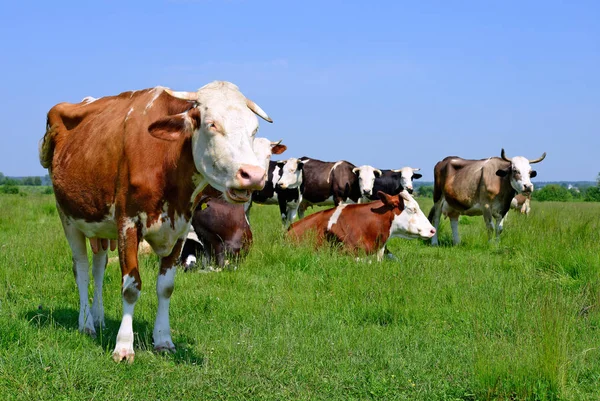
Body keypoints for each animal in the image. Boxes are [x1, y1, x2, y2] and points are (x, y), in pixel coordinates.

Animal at [38, 81, 272, 362]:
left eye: (254, 129)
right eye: (212, 124)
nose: (254, 175)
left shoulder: (180, 229)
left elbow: (166, 287)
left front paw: (163, 340)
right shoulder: (128, 224)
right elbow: (131, 287)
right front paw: (124, 347)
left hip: (100, 225)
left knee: (98, 267)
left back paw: (99, 317)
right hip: (68, 218)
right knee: (82, 270)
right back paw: (86, 324)